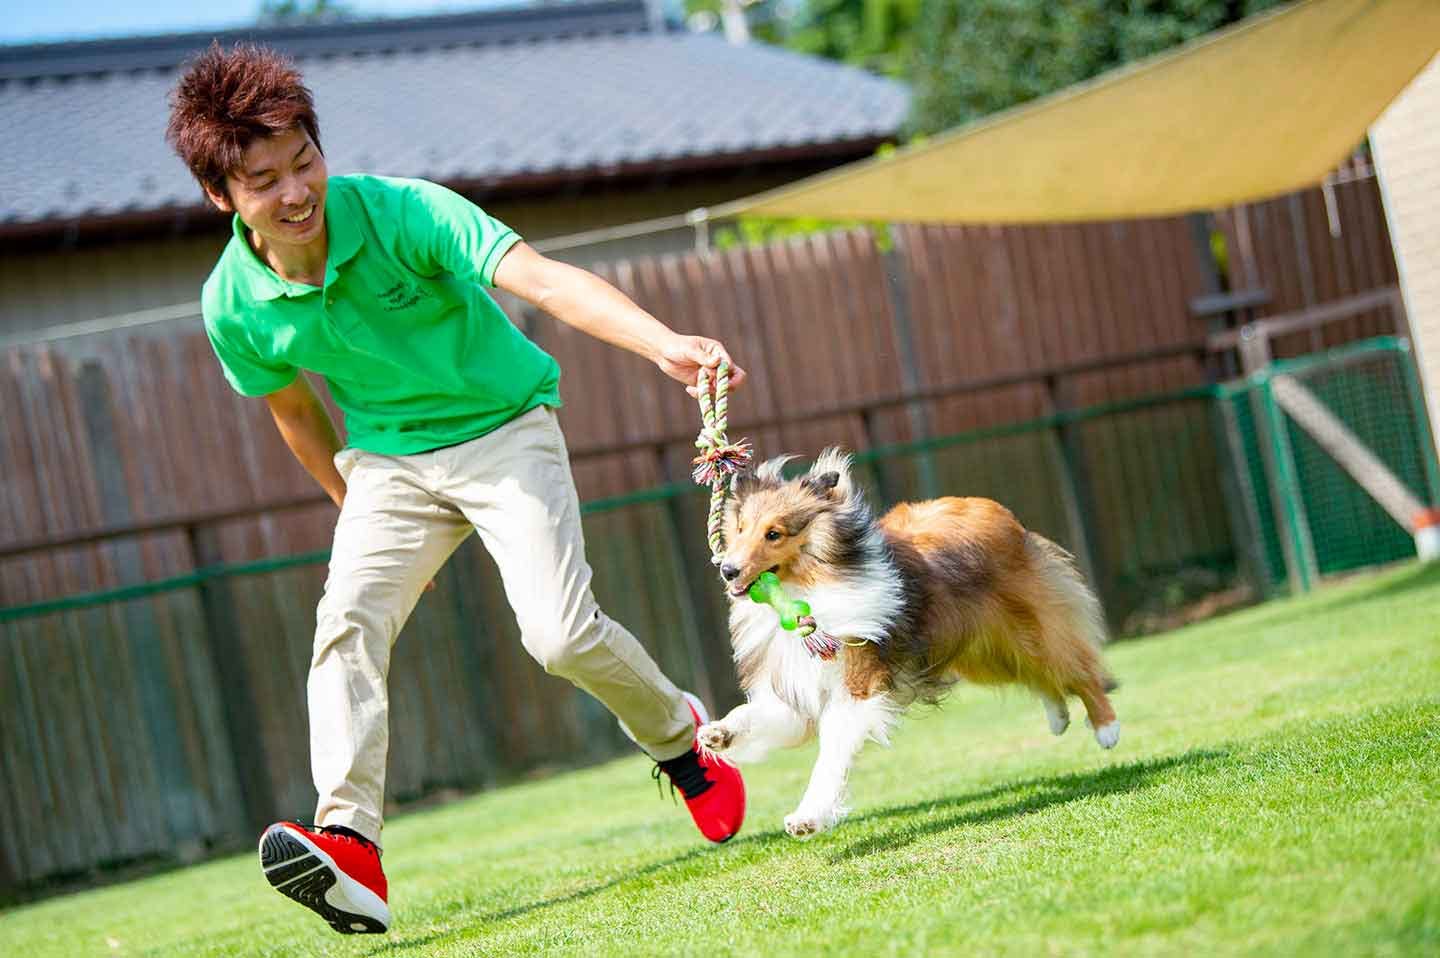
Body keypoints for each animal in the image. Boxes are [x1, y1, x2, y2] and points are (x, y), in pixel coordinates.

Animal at [691, 449, 1117, 835]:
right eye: (741, 528)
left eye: (774, 533)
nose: (728, 569)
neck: (810, 586)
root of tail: (991, 508)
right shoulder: (798, 687)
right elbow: (757, 714)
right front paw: (718, 733)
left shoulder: (858, 684)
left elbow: (830, 756)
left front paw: (808, 816)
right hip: (980, 651)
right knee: (1037, 676)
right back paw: (1058, 715)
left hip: (1033, 629)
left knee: (1077, 669)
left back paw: (1106, 728)